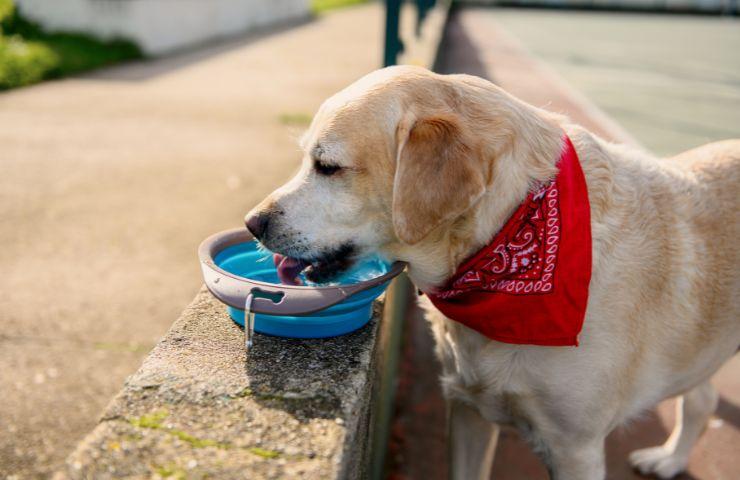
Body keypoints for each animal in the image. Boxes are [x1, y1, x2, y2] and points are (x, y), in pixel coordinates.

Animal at [246, 65, 736, 478]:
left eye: (327, 166)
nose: (253, 222)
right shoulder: (467, 410)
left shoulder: (576, 449)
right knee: (703, 398)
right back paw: (670, 459)